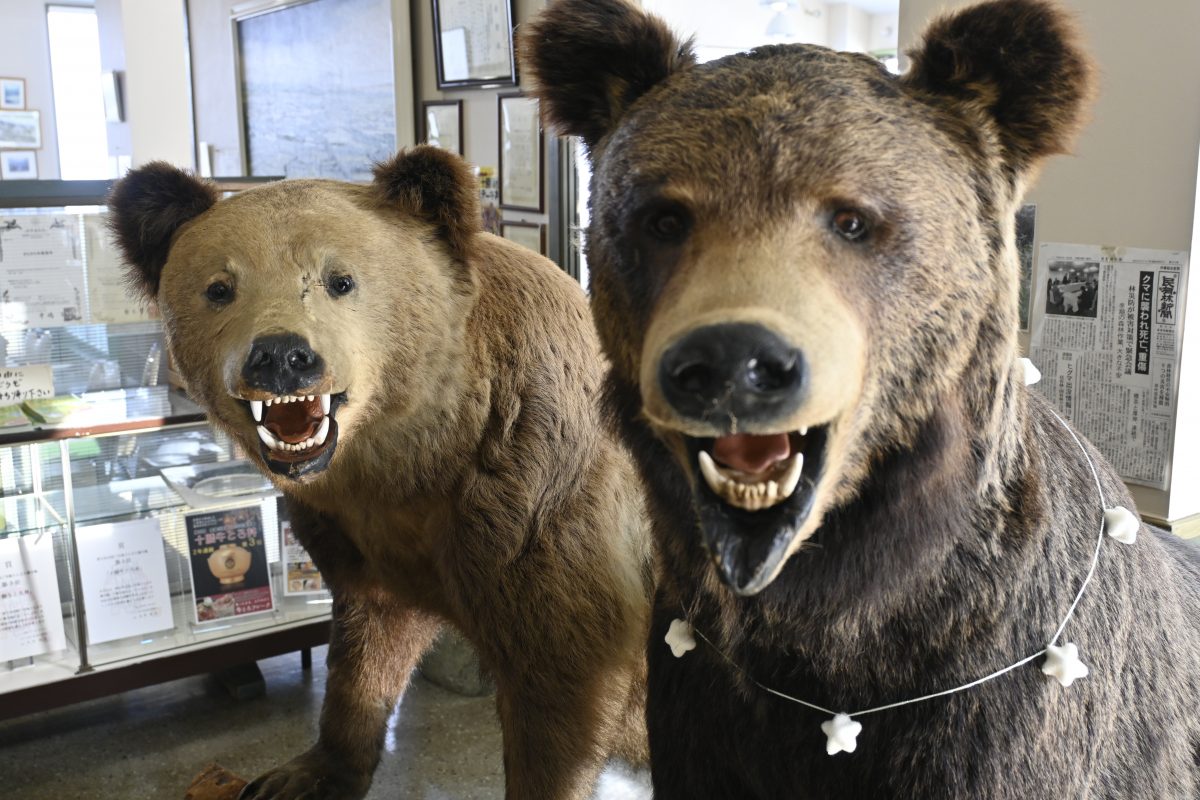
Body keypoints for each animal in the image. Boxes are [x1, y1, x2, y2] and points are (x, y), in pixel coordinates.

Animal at [106, 146, 652, 800]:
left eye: (340, 280)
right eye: (219, 287)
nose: (281, 356)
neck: (420, 456)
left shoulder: (543, 504)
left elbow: (562, 682)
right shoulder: (362, 533)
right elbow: (367, 646)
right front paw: (301, 774)